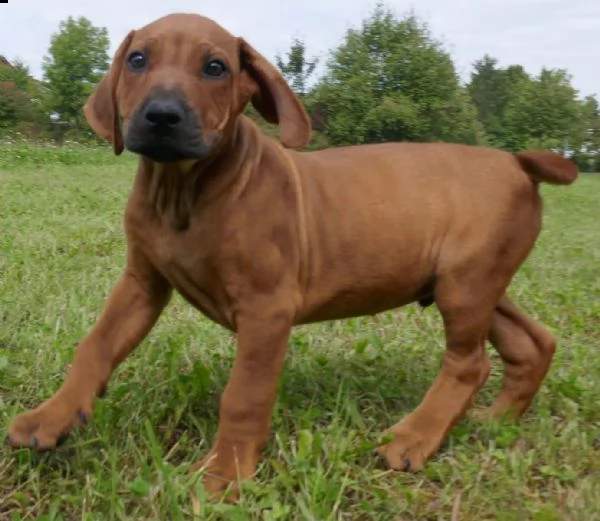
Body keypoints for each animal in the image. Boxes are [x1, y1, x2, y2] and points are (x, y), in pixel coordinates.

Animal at [4, 14, 576, 498]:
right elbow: (95, 346)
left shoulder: (267, 309)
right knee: (531, 343)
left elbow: (244, 395)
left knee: (469, 362)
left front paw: (224, 474)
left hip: (465, 283)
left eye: (216, 67)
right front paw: (50, 417)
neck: (184, 191)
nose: (162, 115)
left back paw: (412, 438)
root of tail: (517, 162)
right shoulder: (142, 283)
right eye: (138, 59)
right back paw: (494, 422)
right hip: (469, 281)